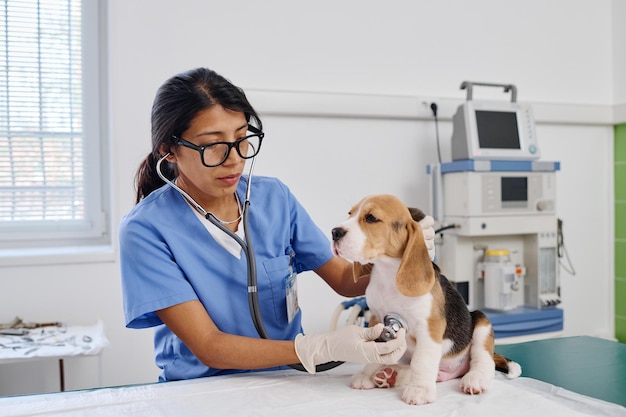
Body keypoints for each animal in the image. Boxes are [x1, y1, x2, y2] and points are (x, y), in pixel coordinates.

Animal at [330, 194, 520, 404]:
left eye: (371, 218)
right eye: (350, 214)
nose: (334, 232)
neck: (388, 274)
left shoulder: (429, 328)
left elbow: (422, 361)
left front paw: (419, 390)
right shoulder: (376, 320)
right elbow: (375, 352)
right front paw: (366, 374)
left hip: (481, 323)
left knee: (483, 360)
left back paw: (475, 379)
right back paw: (390, 374)